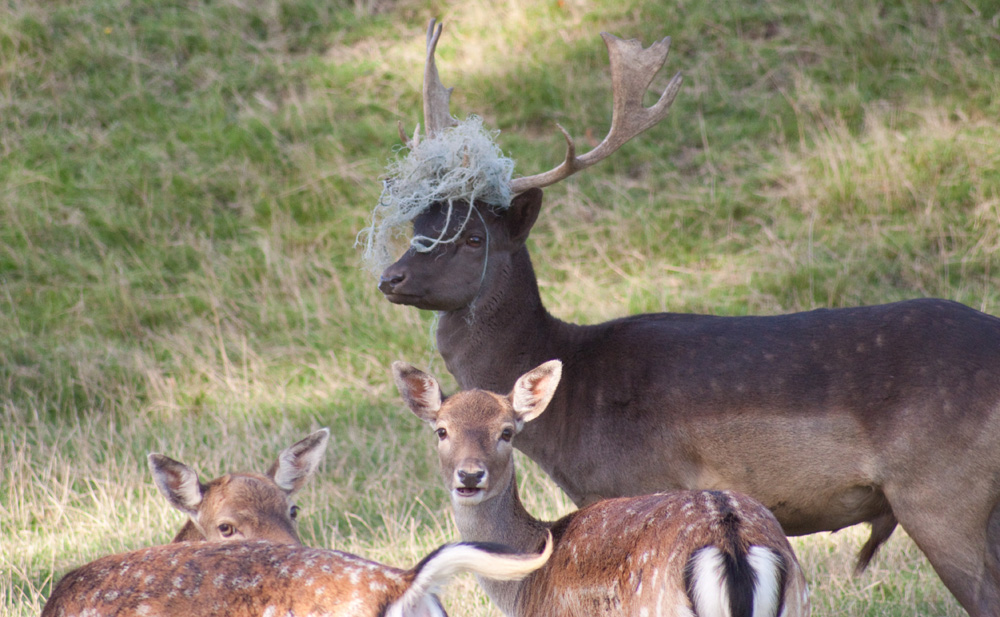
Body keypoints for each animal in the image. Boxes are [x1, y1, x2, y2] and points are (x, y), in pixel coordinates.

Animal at [394, 358, 808, 616]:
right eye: (442, 430)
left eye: (506, 432)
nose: (469, 475)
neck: (524, 593)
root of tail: (732, 545)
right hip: (800, 600)